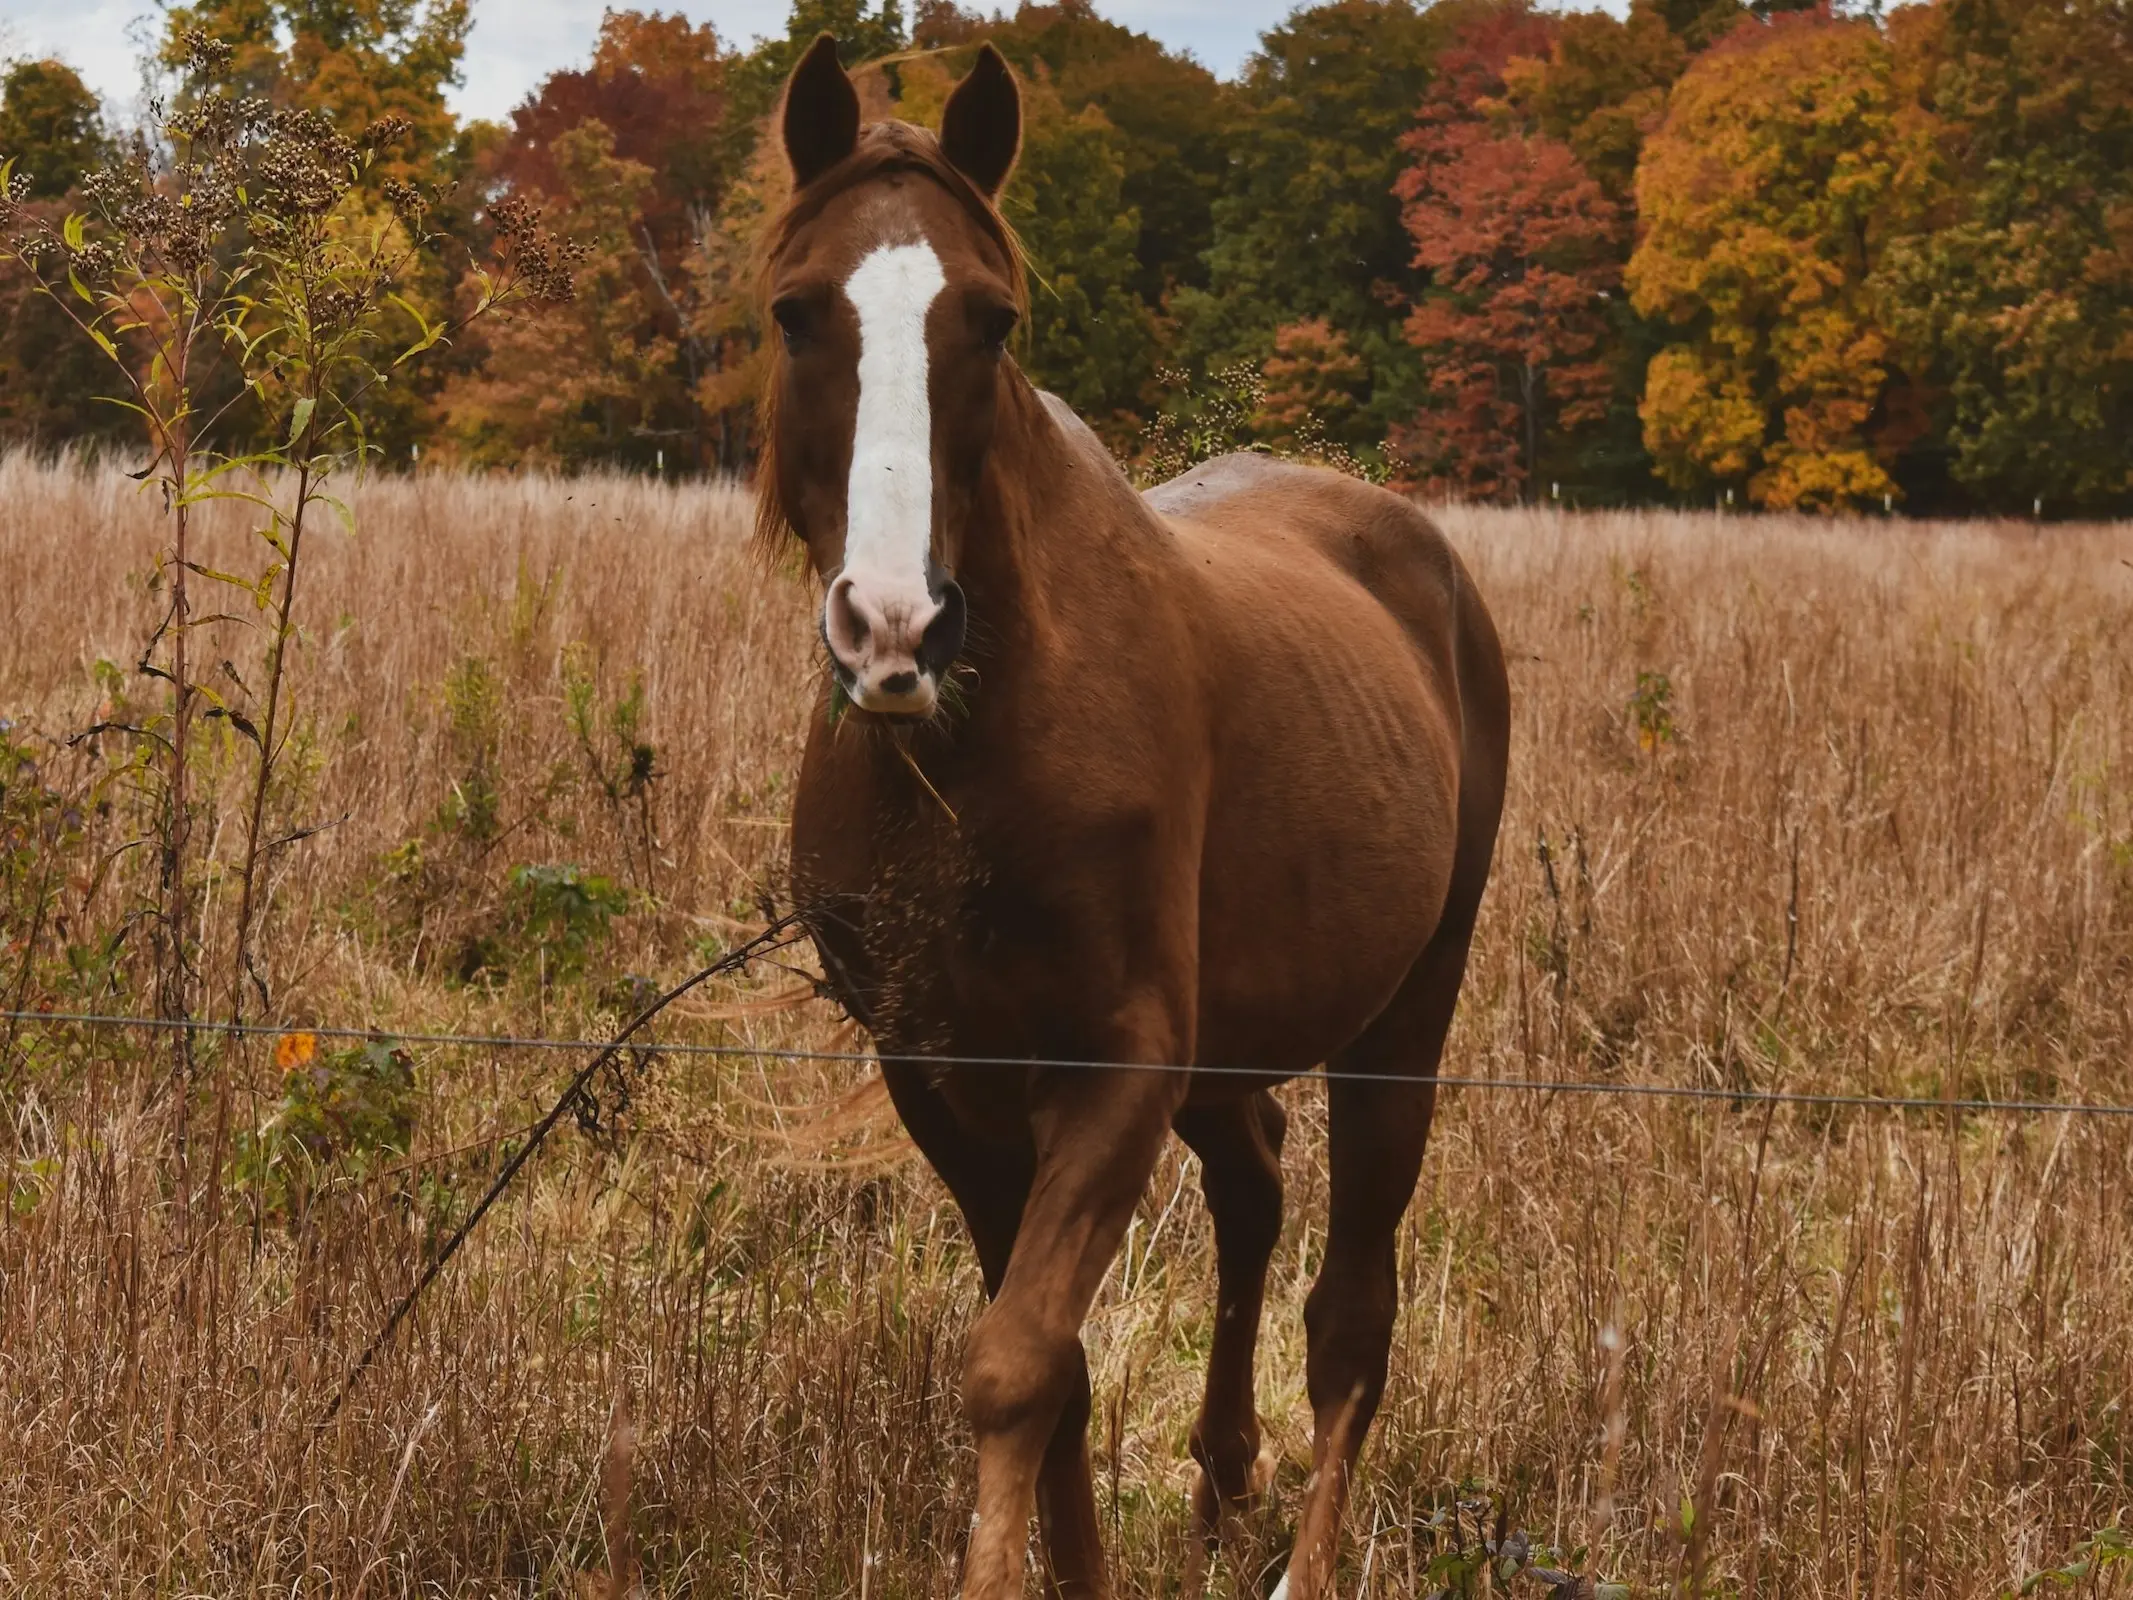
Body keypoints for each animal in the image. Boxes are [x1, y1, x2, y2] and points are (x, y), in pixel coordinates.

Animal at [759, 37, 1510, 1600]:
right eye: (798, 312)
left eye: (990, 322)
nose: (894, 626)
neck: (963, 760)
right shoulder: (942, 1080)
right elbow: (1057, 1369)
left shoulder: (1115, 1073)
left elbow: (1013, 1365)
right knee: (1257, 1188)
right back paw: (1223, 1476)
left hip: (1403, 1021)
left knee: (1352, 1308)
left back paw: (1303, 1556)